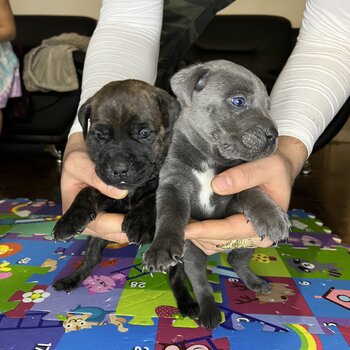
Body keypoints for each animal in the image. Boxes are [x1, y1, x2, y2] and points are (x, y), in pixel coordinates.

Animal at [143, 58, 290, 330]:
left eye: (268, 107)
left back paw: (254, 281)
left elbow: (251, 191)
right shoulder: (173, 185)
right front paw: (161, 248)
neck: (209, 159)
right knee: (201, 283)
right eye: (238, 101)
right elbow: (170, 214)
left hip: (248, 244)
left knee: (237, 261)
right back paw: (209, 311)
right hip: (192, 255)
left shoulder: (230, 195)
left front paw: (272, 215)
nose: (274, 135)